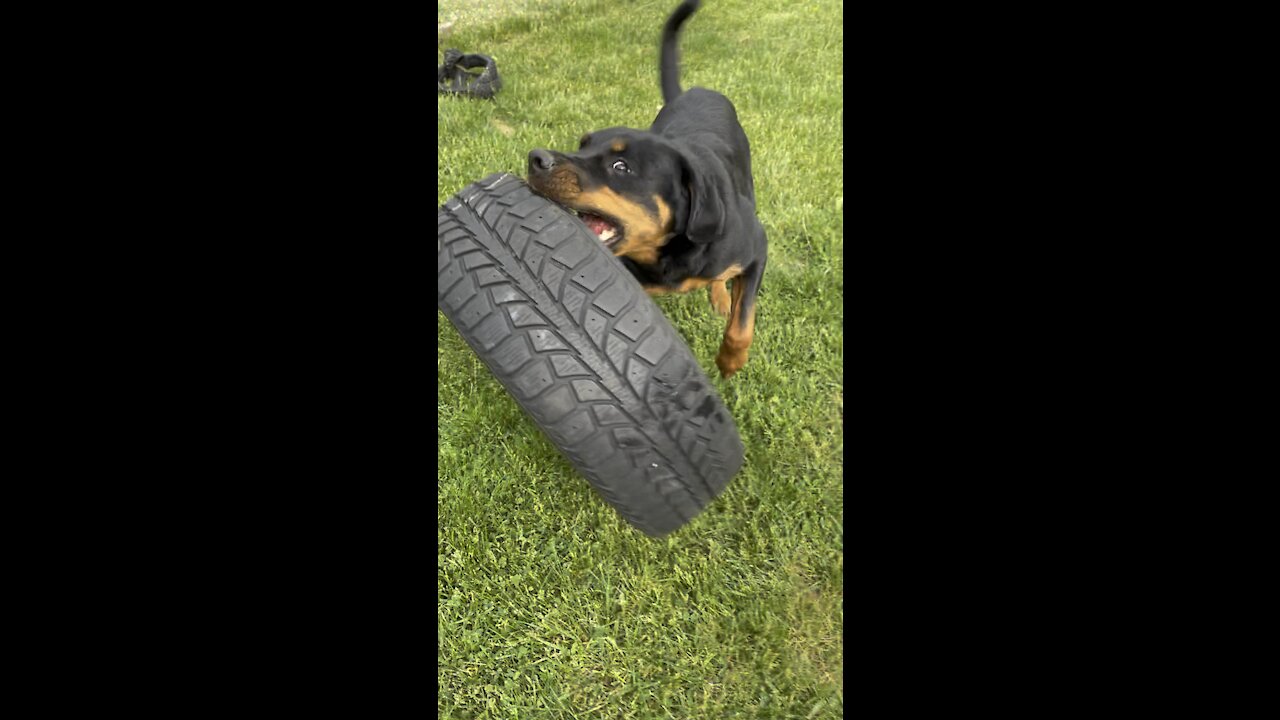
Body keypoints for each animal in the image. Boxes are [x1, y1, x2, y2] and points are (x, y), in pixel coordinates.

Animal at [524, 0, 762, 379]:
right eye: (582, 144)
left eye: (621, 167)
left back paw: (721, 296)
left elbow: (742, 322)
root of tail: (694, 91)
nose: (535, 158)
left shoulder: (756, 250)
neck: (666, 253)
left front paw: (730, 361)